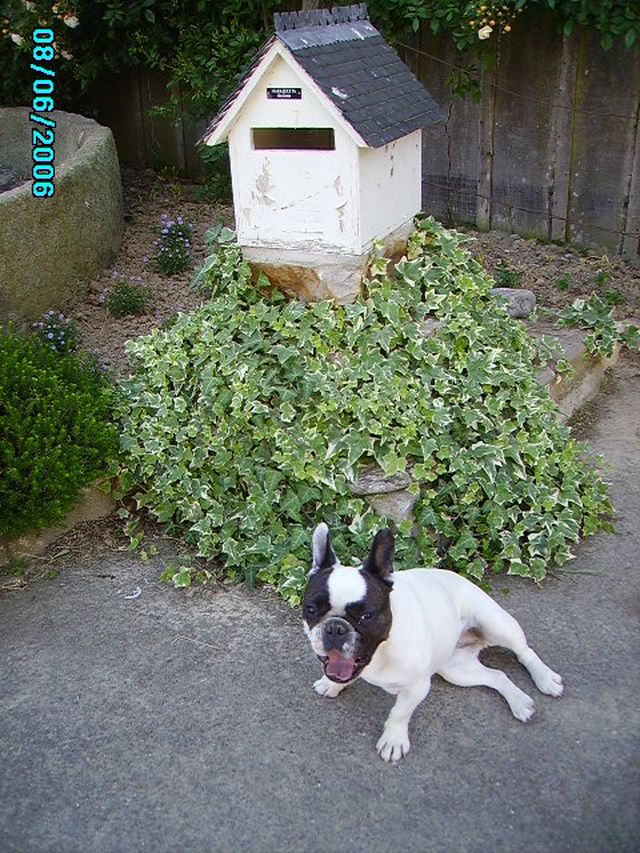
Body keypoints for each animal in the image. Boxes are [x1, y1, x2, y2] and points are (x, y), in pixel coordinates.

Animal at [302, 524, 564, 764]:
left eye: (366, 615)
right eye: (311, 609)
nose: (335, 627)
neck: (381, 651)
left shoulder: (417, 687)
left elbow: (399, 713)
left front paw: (394, 740)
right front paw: (331, 684)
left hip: (497, 624)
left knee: (524, 652)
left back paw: (545, 679)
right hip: (456, 670)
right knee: (497, 676)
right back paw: (519, 702)